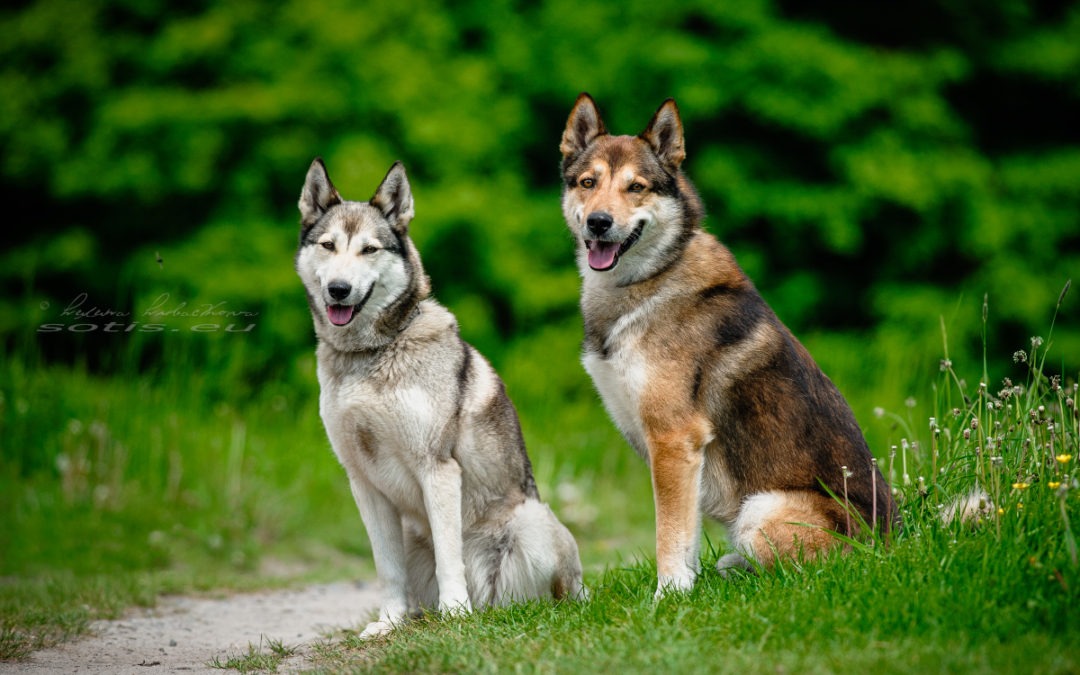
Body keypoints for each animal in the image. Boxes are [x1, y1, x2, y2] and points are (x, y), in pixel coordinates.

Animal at [295, 157, 587, 635]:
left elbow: (451, 559)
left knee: (533, 598)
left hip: (534, 521)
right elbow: (386, 569)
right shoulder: (363, 484)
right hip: (416, 539)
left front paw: (455, 613)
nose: (338, 289)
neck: (371, 354)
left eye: (369, 250)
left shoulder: (438, 469)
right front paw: (388, 622)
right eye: (328, 245)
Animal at [561, 93, 898, 596]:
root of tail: (896, 543)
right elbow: (685, 538)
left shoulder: (674, 440)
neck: (650, 280)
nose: (600, 223)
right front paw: (686, 586)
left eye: (636, 187)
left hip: (760, 509)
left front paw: (668, 596)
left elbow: (669, 534)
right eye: (588, 182)